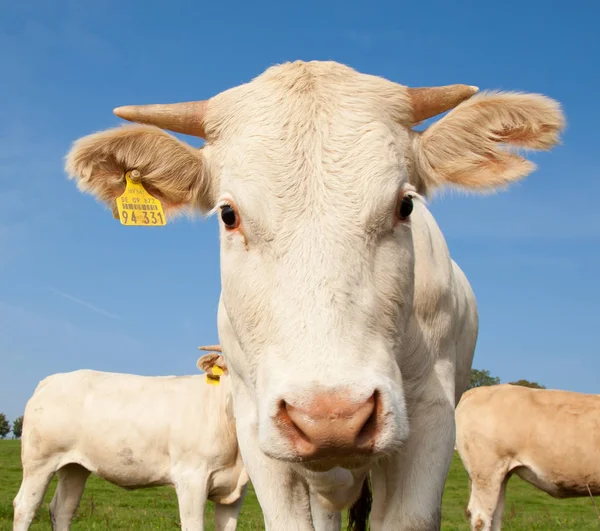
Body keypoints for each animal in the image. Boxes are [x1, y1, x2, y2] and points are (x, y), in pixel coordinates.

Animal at [12, 354, 246, 531]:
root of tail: (52, 379)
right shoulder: (191, 478)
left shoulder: (236, 489)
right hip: (40, 462)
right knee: (25, 506)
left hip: (74, 467)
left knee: (62, 509)